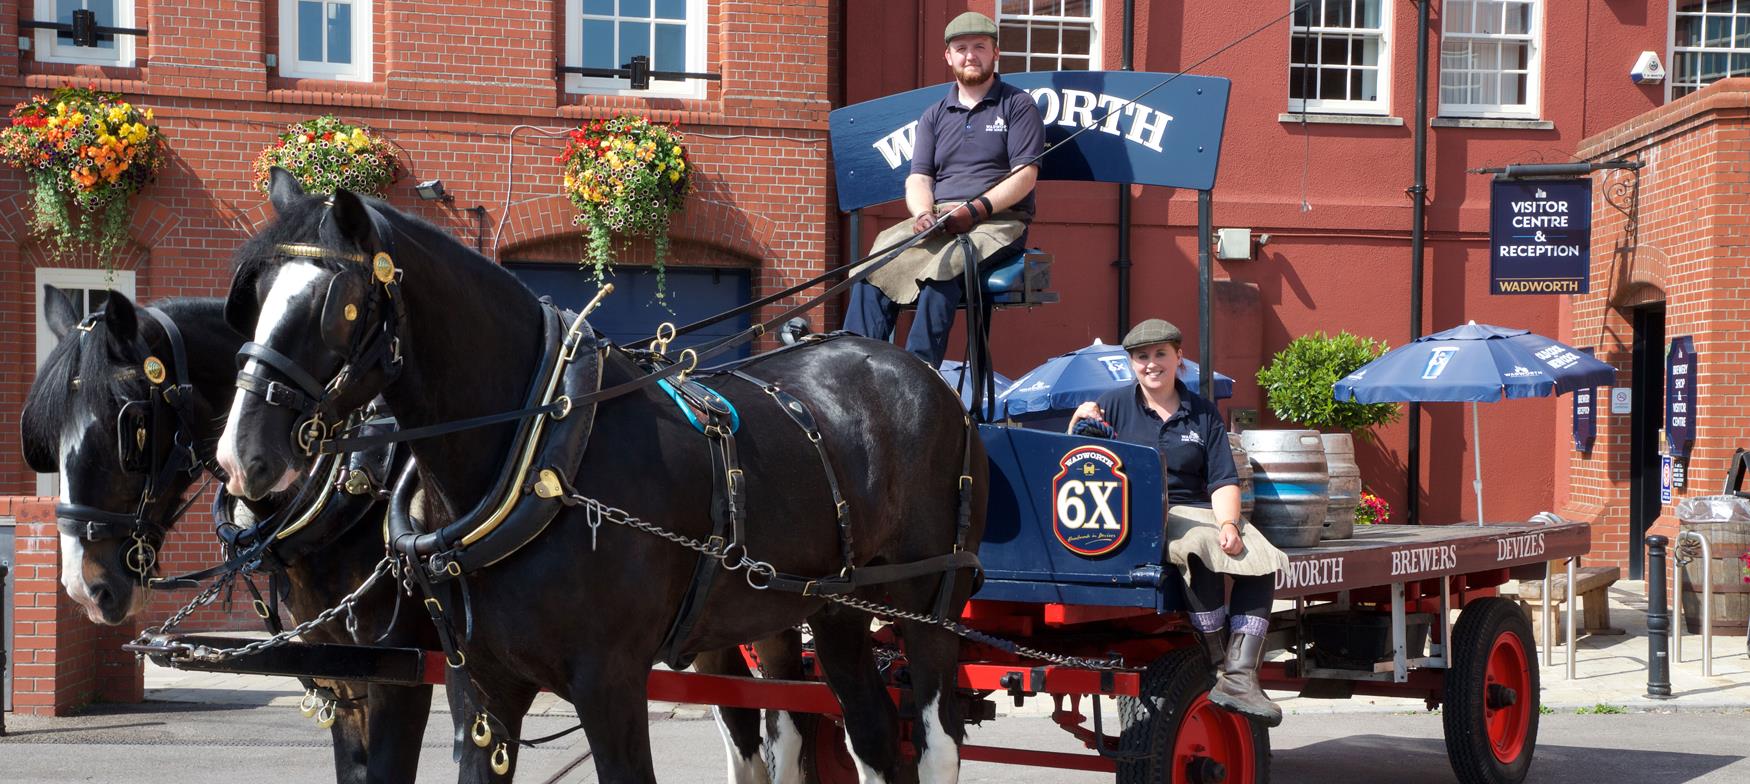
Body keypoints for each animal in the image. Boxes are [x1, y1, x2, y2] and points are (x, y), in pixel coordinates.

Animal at [217, 173, 987, 784]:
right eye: (251, 299)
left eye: (337, 305)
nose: (239, 454)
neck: (537, 455)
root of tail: (923, 376)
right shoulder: (477, 690)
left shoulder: (608, 682)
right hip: (830, 611)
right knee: (871, 734)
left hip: (930, 603)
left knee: (936, 742)